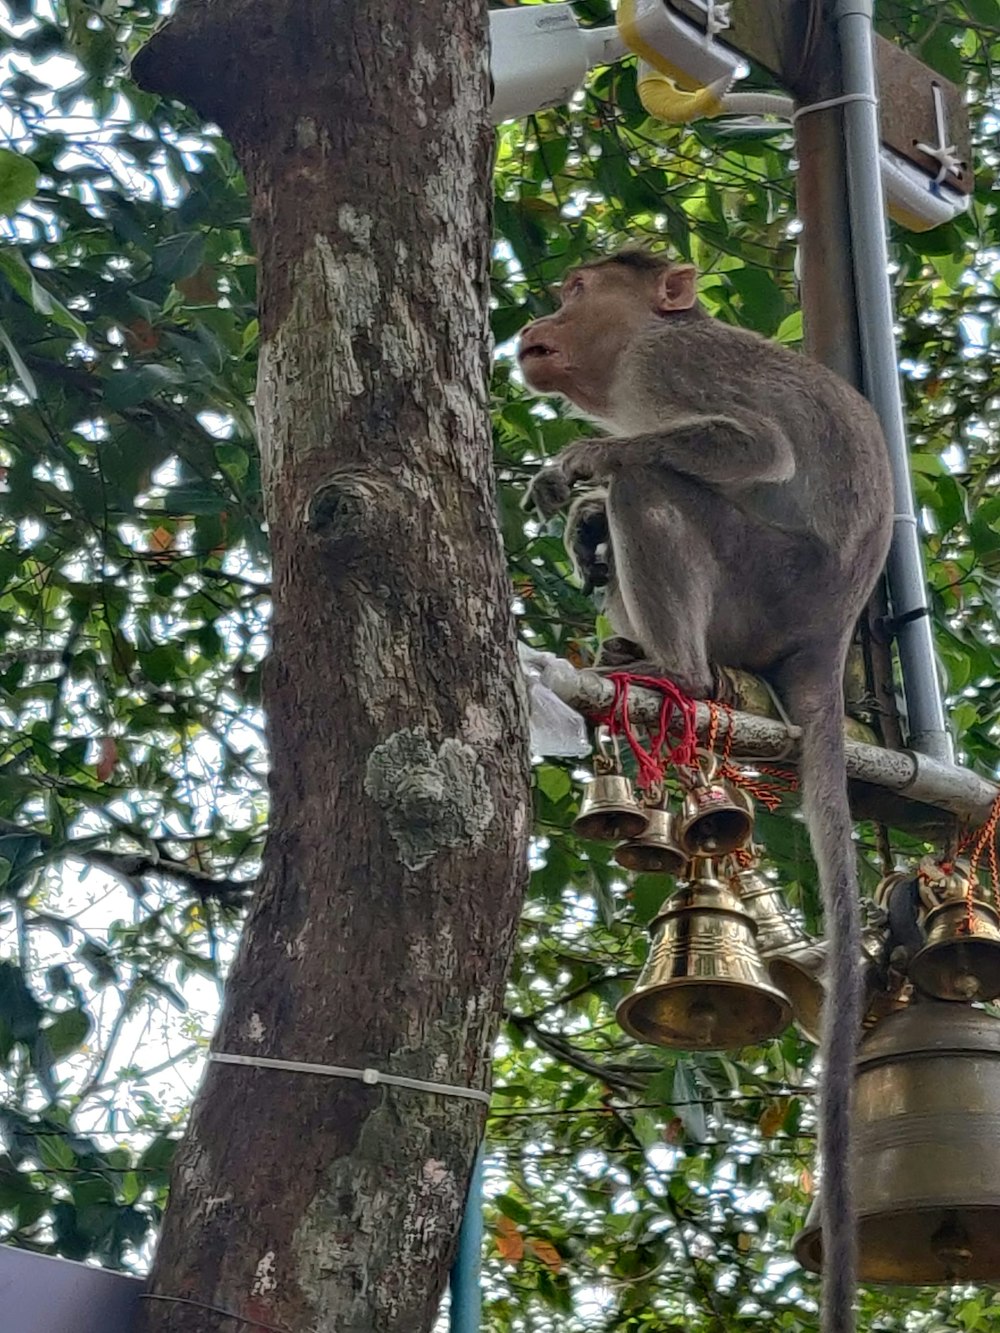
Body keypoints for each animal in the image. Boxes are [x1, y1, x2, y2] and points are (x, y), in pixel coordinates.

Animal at [520, 250, 896, 1333]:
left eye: (574, 289)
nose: (533, 323)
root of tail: (826, 636)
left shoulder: (672, 364)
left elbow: (750, 448)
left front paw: (577, 461)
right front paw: (575, 512)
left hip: (765, 581)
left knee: (657, 481)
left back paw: (676, 668)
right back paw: (630, 640)